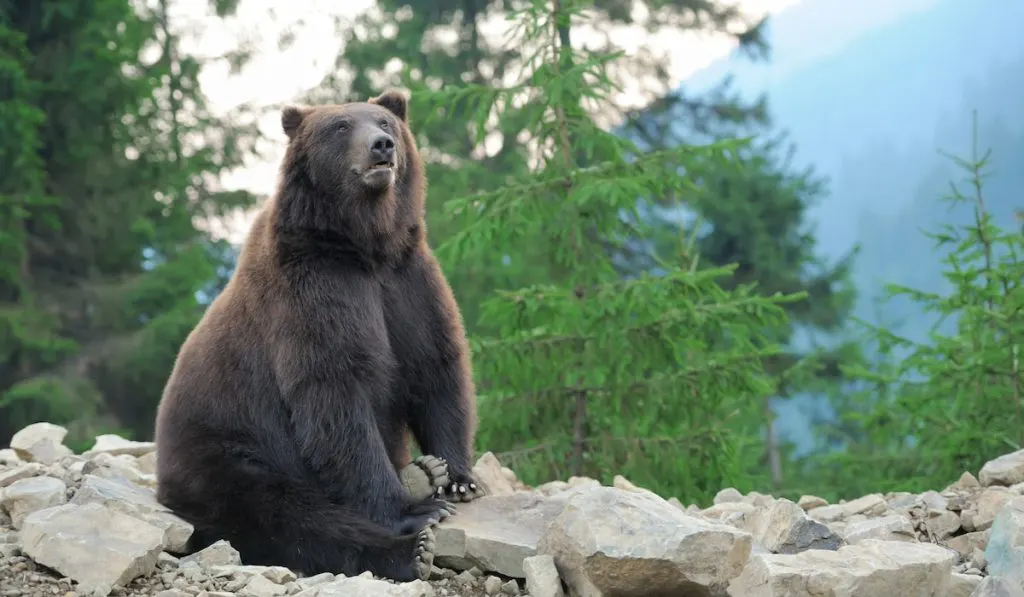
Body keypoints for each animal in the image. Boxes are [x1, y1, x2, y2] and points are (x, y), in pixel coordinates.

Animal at [154, 90, 479, 585]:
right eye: (341, 127)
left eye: (385, 120)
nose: (382, 146)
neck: (364, 247)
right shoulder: (313, 293)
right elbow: (337, 399)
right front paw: (414, 510)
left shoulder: (408, 282)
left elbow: (436, 364)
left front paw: (459, 476)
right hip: (230, 456)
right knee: (290, 517)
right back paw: (411, 548)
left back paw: (428, 471)